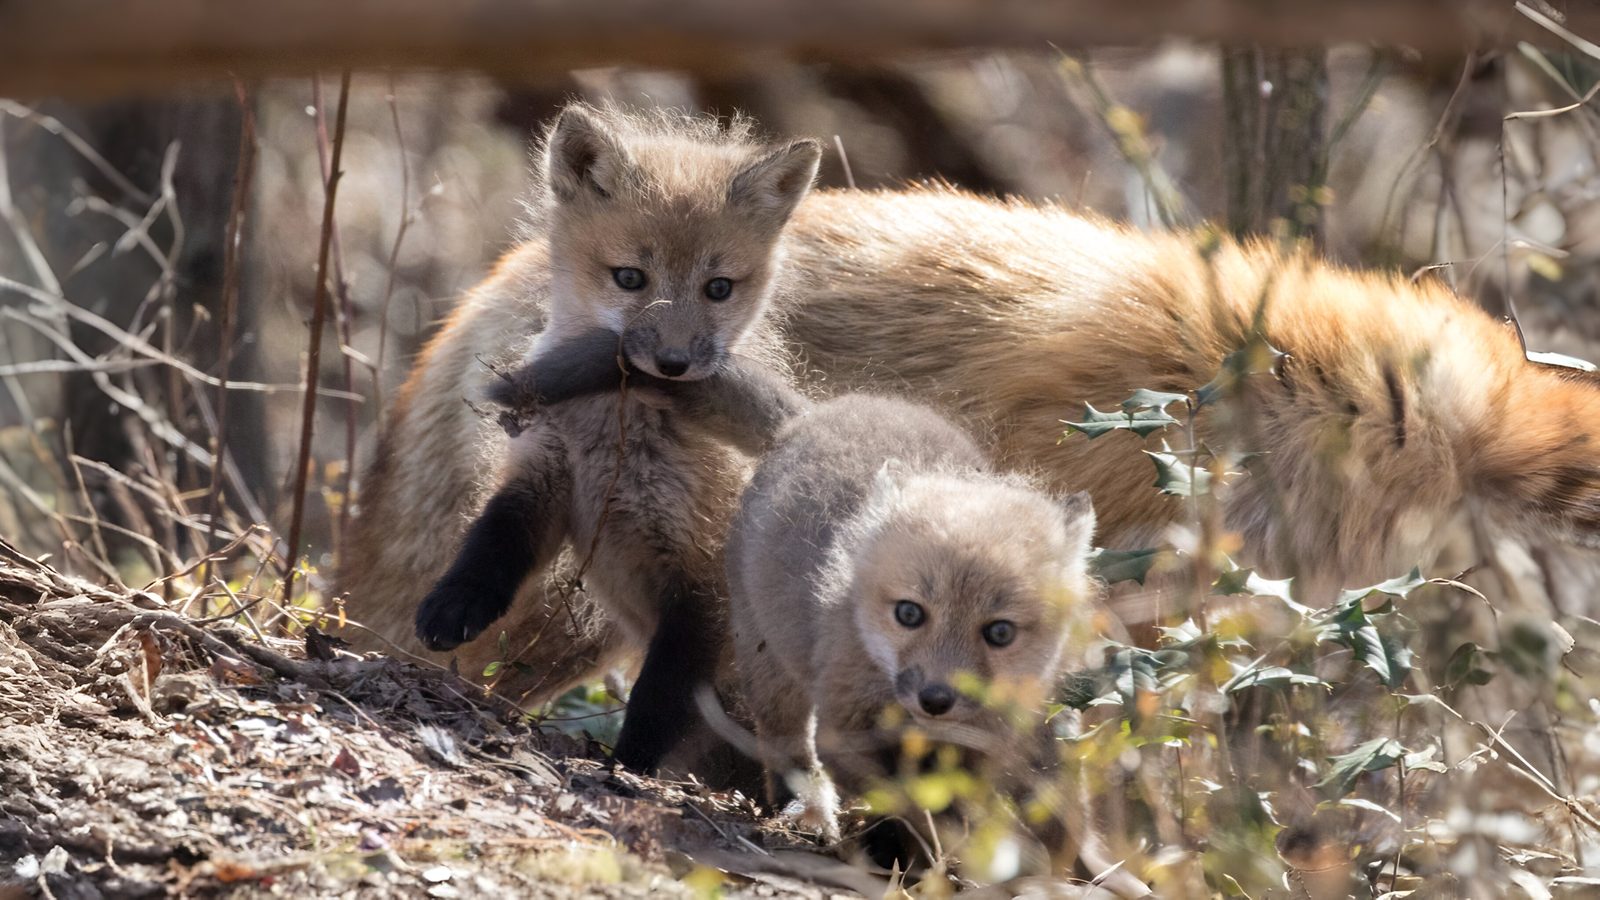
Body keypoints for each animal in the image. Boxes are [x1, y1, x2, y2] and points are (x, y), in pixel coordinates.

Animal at [343, 101, 820, 773]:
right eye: (630, 278)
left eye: (719, 288)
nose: (673, 363)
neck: (613, 443)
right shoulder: (544, 477)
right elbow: (492, 546)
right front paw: (453, 605)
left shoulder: (702, 581)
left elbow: (661, 694)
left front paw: (628, 765)